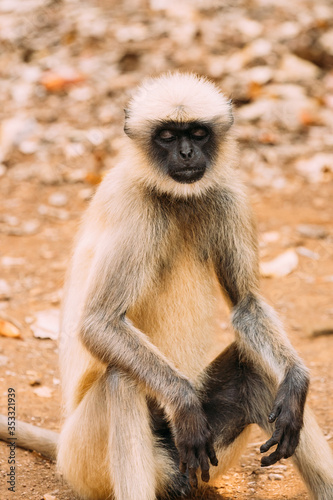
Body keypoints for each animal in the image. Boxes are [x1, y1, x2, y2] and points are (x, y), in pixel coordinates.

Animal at [0, 71, 332, 500]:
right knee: (120, 380)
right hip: (85, 462)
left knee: (255, 368)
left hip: (204, 462)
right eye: (168, 136)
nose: (188, 153)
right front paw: (185, 403)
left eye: (198, 133)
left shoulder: (229, 194)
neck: (176, 197)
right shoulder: (136, 208)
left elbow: (246, 304)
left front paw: (296, 379)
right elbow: (99, 322)